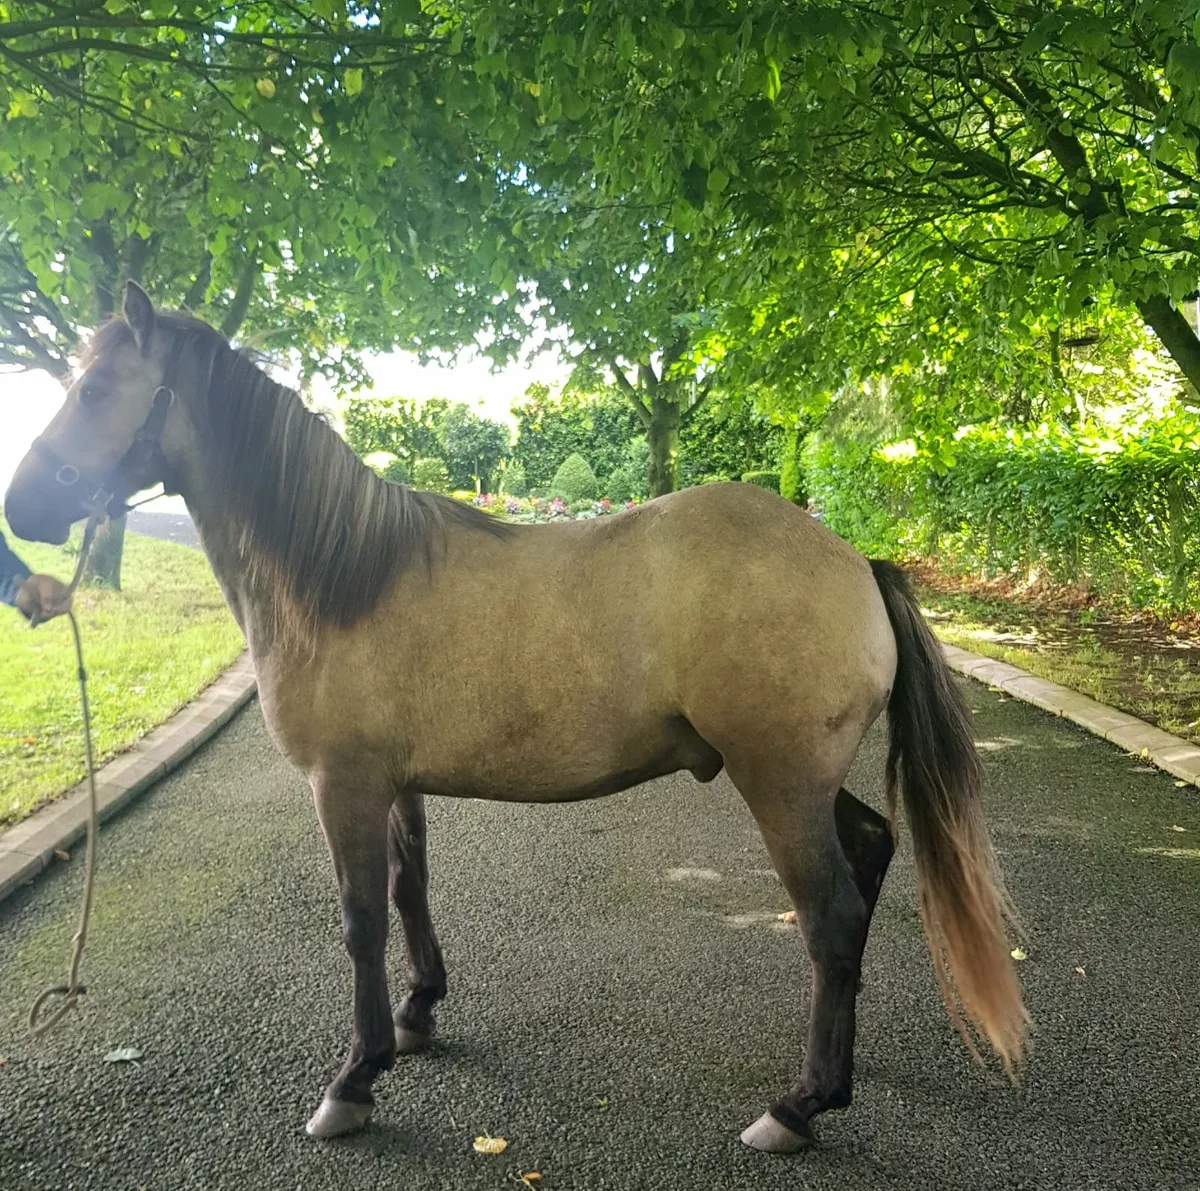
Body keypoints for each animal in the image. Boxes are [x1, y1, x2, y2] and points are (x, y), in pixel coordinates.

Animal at [5, 282, 1027, 1152]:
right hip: (803, 779)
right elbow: (409, 890)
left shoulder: (342, 784)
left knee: (829, 911)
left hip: (777, 782)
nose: (23, 504)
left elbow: (359, 919)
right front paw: (416, 1016)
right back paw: (841, 1066)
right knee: (871, 853)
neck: (343, 578)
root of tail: (858, 562)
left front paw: (353, 1080)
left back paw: (799, 1103)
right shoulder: (394, 783)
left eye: (95, 387)